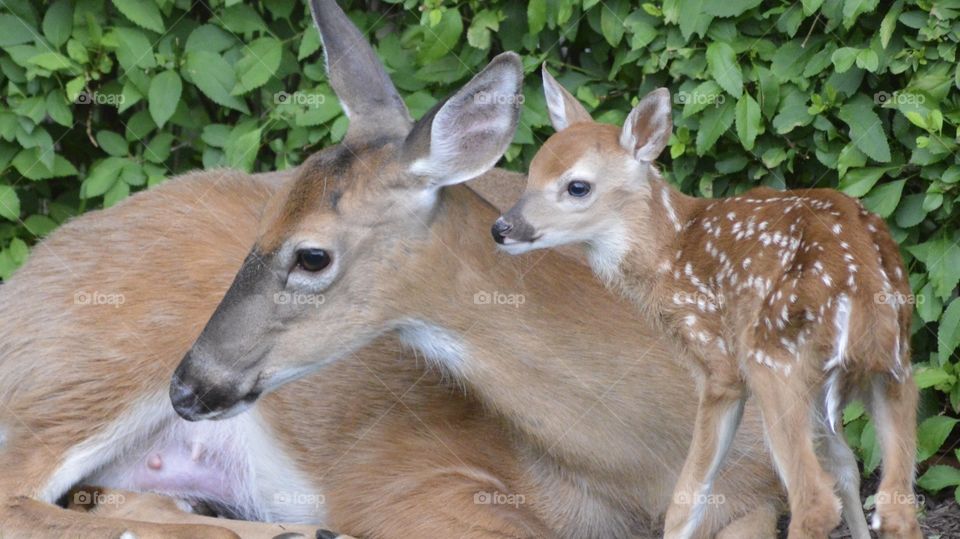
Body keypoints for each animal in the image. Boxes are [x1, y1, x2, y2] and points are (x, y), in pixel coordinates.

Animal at [492, 70, 920, 539]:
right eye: (531, 172)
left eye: (577, 186)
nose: (502, 228)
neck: (670, 255)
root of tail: (863, 283)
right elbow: (846, 467)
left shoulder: (718, 363)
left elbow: (686, 499)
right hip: (894, 368)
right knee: (895, 502)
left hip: (773, 361)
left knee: (815, 502)